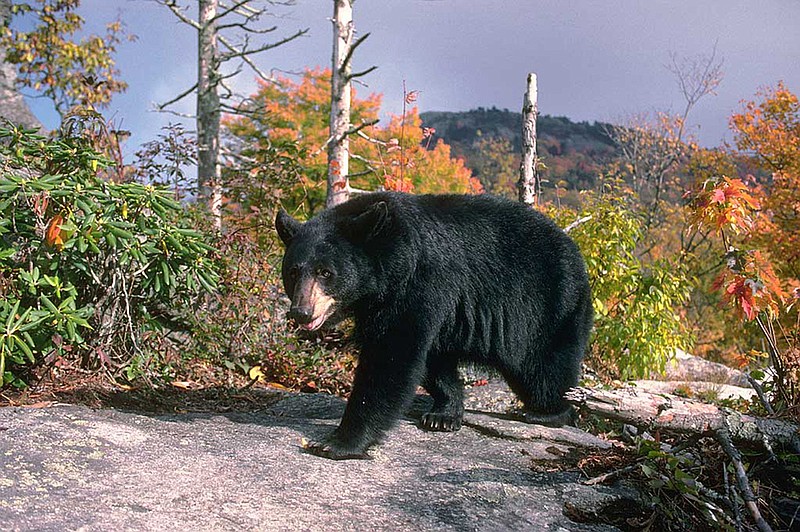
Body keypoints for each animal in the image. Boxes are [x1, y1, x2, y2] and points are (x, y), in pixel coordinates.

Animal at [276, 193, 592, 460]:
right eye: (293, 272)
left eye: (325, 272)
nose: (301, 312)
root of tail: (575, 251)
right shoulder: (383, 302)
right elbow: (429, 356)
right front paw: (444, 413)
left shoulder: (419, 282)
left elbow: (392, 354)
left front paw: (338, 441)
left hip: (552, 304)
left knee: (544, 367)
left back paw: (547, 412)